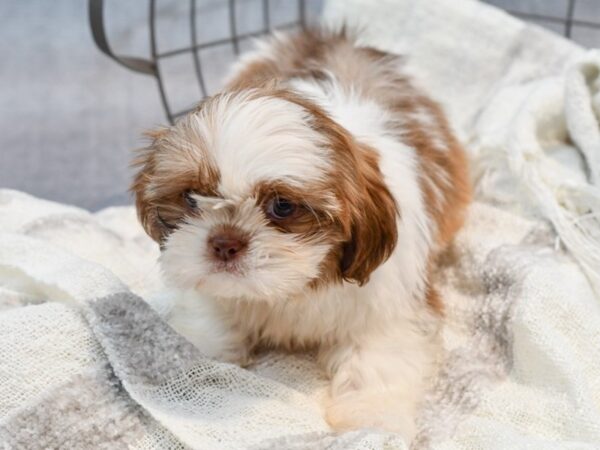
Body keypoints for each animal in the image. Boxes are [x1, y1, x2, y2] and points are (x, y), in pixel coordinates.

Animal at [134, 29, 472, 442]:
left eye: (282, 206)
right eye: (191, 196)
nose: (225, 242)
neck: (294, 288)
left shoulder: (390, 308)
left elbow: (377, 363)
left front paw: (374, 422)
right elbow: (209, 323)